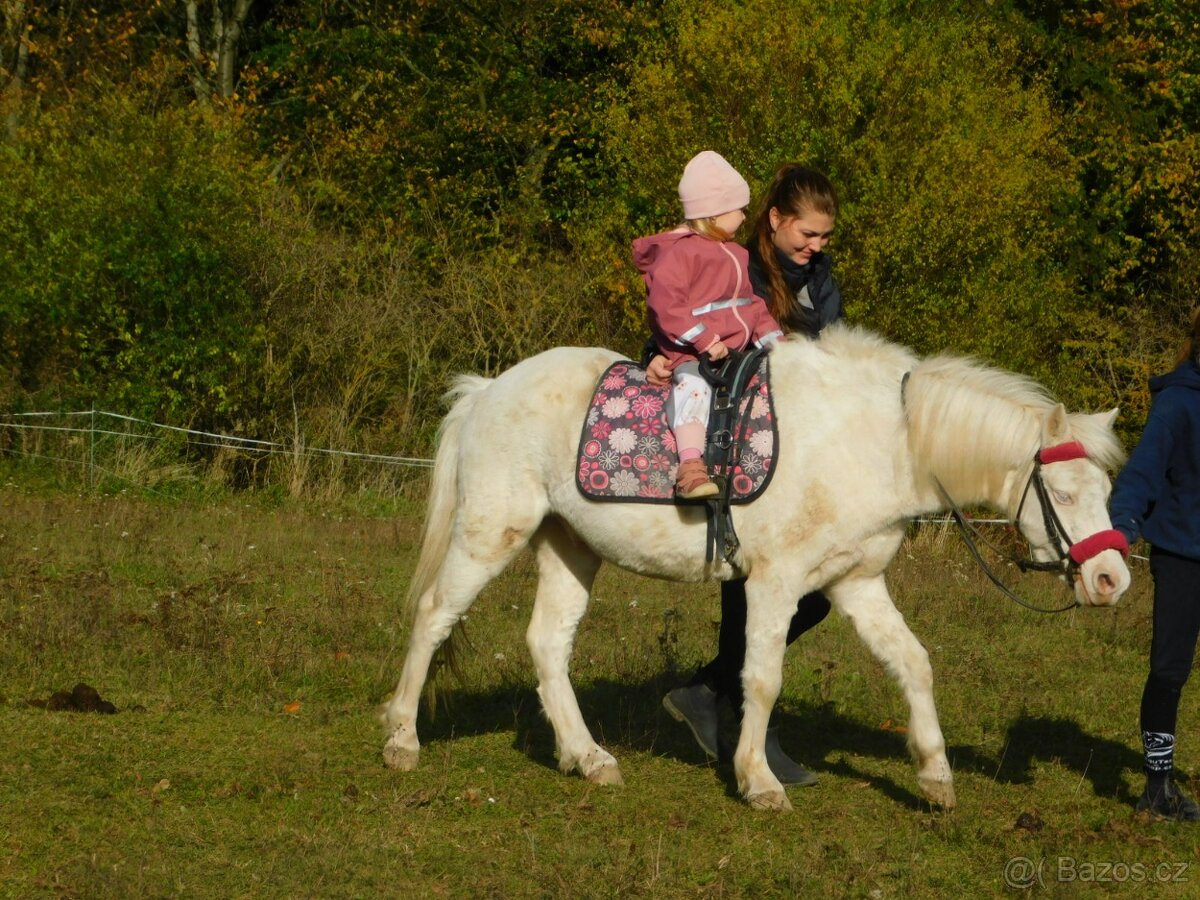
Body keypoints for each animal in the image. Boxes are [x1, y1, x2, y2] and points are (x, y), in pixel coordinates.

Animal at [380, 325, 1131, 811]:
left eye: (1105, 489)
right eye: (1064, 493)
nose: (1112, 581)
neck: (875, 441)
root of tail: (487, 390)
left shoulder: (854, 583)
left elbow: (913, 663)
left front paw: (935, 774)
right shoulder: (776, 583)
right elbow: (762, 679)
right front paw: (759, 781)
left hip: (570, 547)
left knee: (547, 645)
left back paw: (589, 758)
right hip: (490, 532)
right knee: (432, 618)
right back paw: (402, 740)